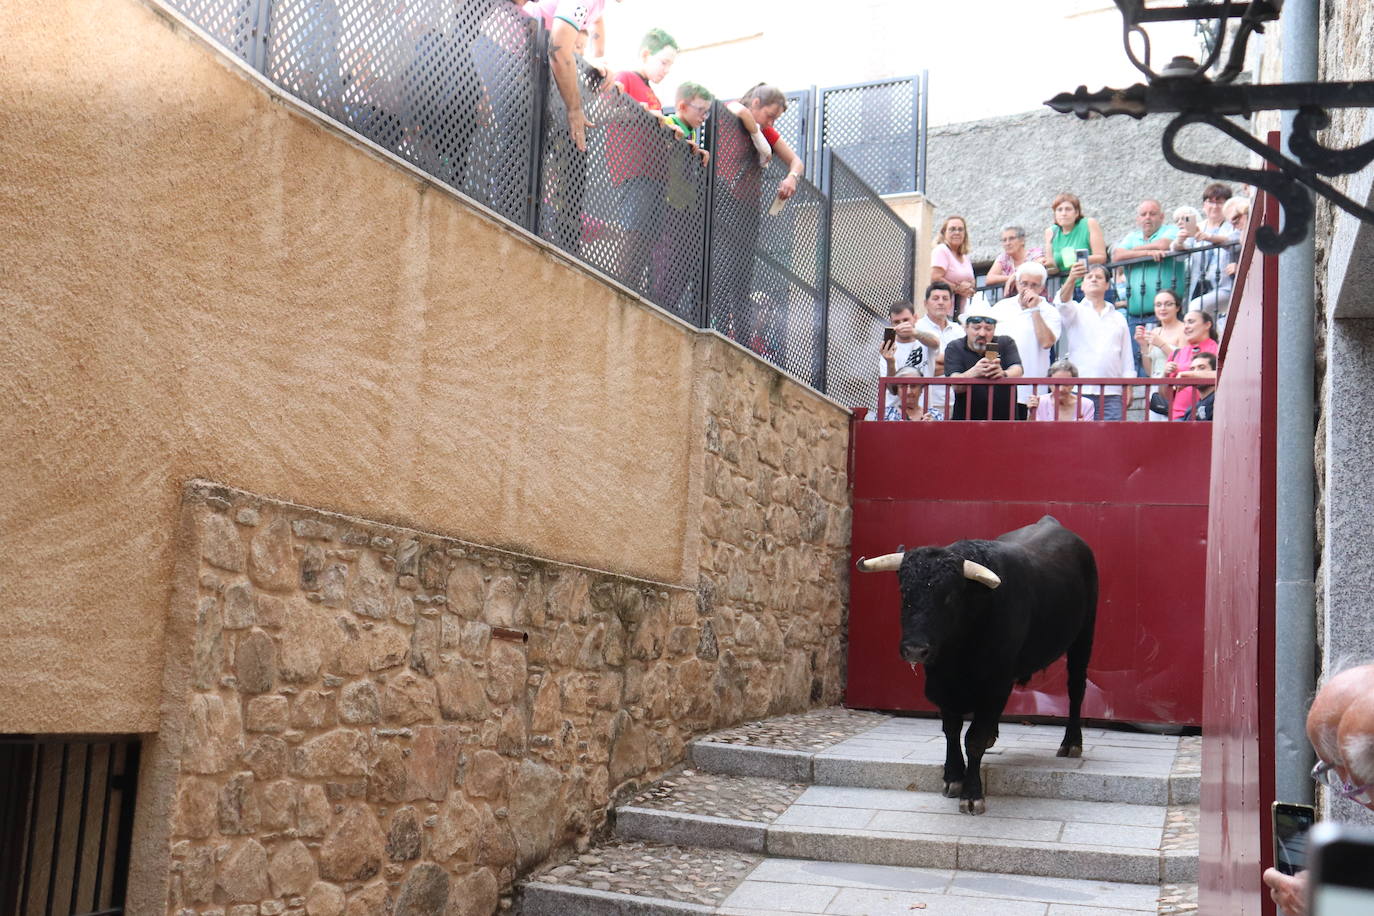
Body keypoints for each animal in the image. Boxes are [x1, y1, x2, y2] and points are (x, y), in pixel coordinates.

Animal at [857, 516, 1093, 818]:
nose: (914, 649)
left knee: (1076, 687)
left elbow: (973, 738)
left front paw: (971, 794)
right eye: (904, 592)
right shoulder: (942, 684)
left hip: (1083, 636)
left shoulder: (995, 683)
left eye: (949, 596)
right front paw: (953, 776)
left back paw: (1072, 742)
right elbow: (952, 729)